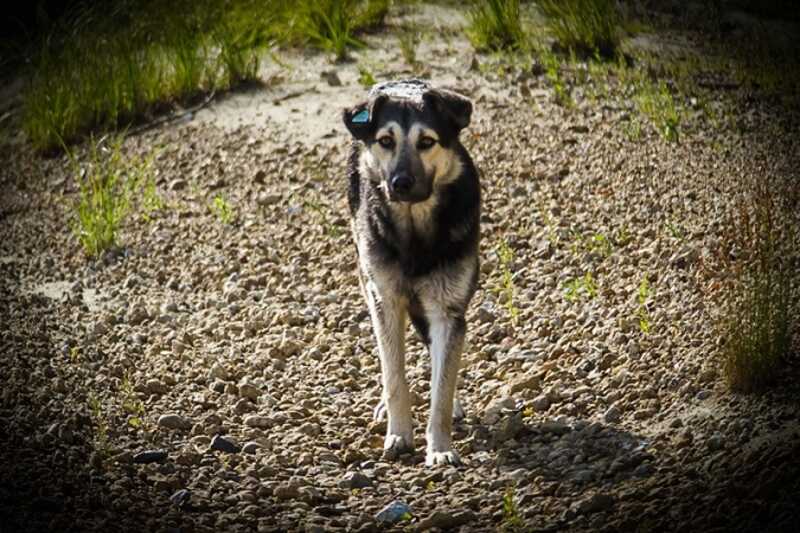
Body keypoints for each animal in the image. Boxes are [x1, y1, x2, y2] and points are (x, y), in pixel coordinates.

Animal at [340, 80, 478, 466]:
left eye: (427, 141)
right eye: (386, 141)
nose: (400, 183)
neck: (416, 232)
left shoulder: (448, 310)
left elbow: (442, 389)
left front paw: (440, 447)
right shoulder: (385, 301)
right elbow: (394, 376)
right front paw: (399, 434)